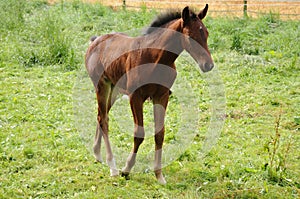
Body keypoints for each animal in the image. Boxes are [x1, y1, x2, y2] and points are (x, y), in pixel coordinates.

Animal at [85, 4, 213, 183]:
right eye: (190, 36)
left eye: (206, 33)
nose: (208, 65)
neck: (155, 58)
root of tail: (95, 41)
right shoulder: (135, 97)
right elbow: (139, 134)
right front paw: (126, 169)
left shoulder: (162, 96)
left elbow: (160, 134)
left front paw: (159, 175)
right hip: (101, 86)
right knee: (104, 120)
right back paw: (113, 167)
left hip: (114, 89)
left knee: (101, 115)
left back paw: (97, 154)